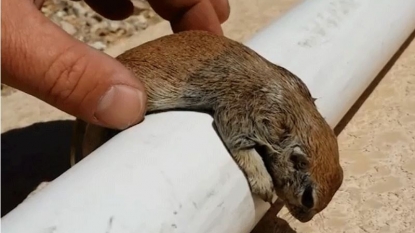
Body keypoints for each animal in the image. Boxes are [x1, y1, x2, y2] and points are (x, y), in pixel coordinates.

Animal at [68, 30, 342, 223]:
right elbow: (238, 143)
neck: (291, 109)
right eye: (308, 199)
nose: (304, 220)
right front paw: (263, 181)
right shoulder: (242, 111)